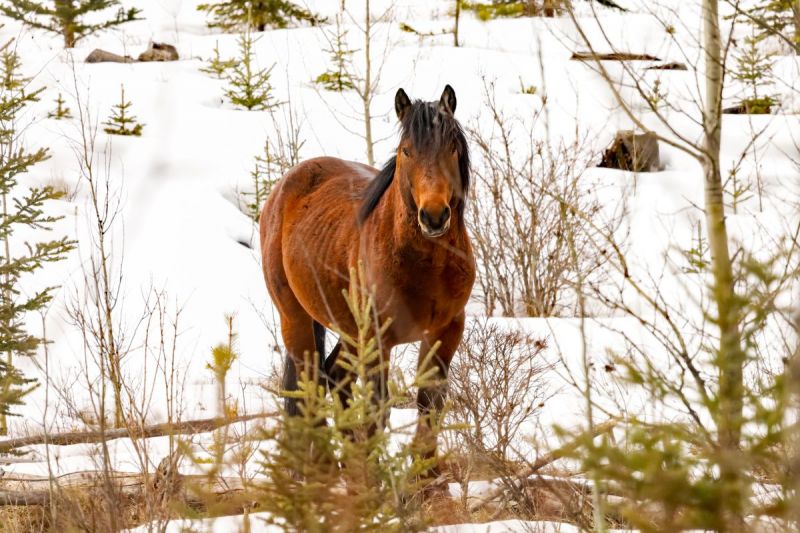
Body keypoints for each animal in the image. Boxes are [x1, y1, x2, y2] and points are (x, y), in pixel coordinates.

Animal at [259, 85, 475, 464]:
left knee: (335, 377)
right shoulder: (378, 338)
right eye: (407, 151)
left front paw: (427, 472)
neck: (427, 266)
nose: (434, 216)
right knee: (310, 387)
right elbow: (378, 409)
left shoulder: (446, 330)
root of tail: (286, 185)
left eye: (451, 147)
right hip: (296, 319)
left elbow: (430, 402)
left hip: (348, 329)